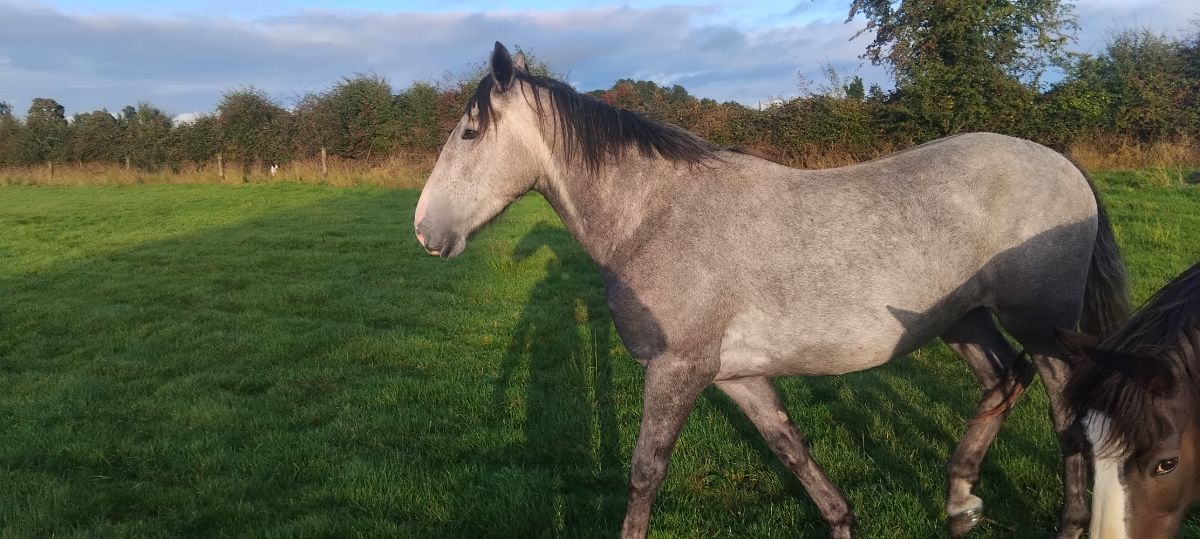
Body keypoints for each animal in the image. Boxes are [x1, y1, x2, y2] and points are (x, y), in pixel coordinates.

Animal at [414, 42, 1130, 538]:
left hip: (1041, 328)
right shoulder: (736, 376)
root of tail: (1062, 163)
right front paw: (842, 518)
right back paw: (960, 501)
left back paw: (1068, 522)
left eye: (469, 132)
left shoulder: (676, 369)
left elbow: (646, 472)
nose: (425, 230)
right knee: (1004, 379)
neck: (653, 216)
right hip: (963, 319)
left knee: (1069, 415)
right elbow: (793, 451)